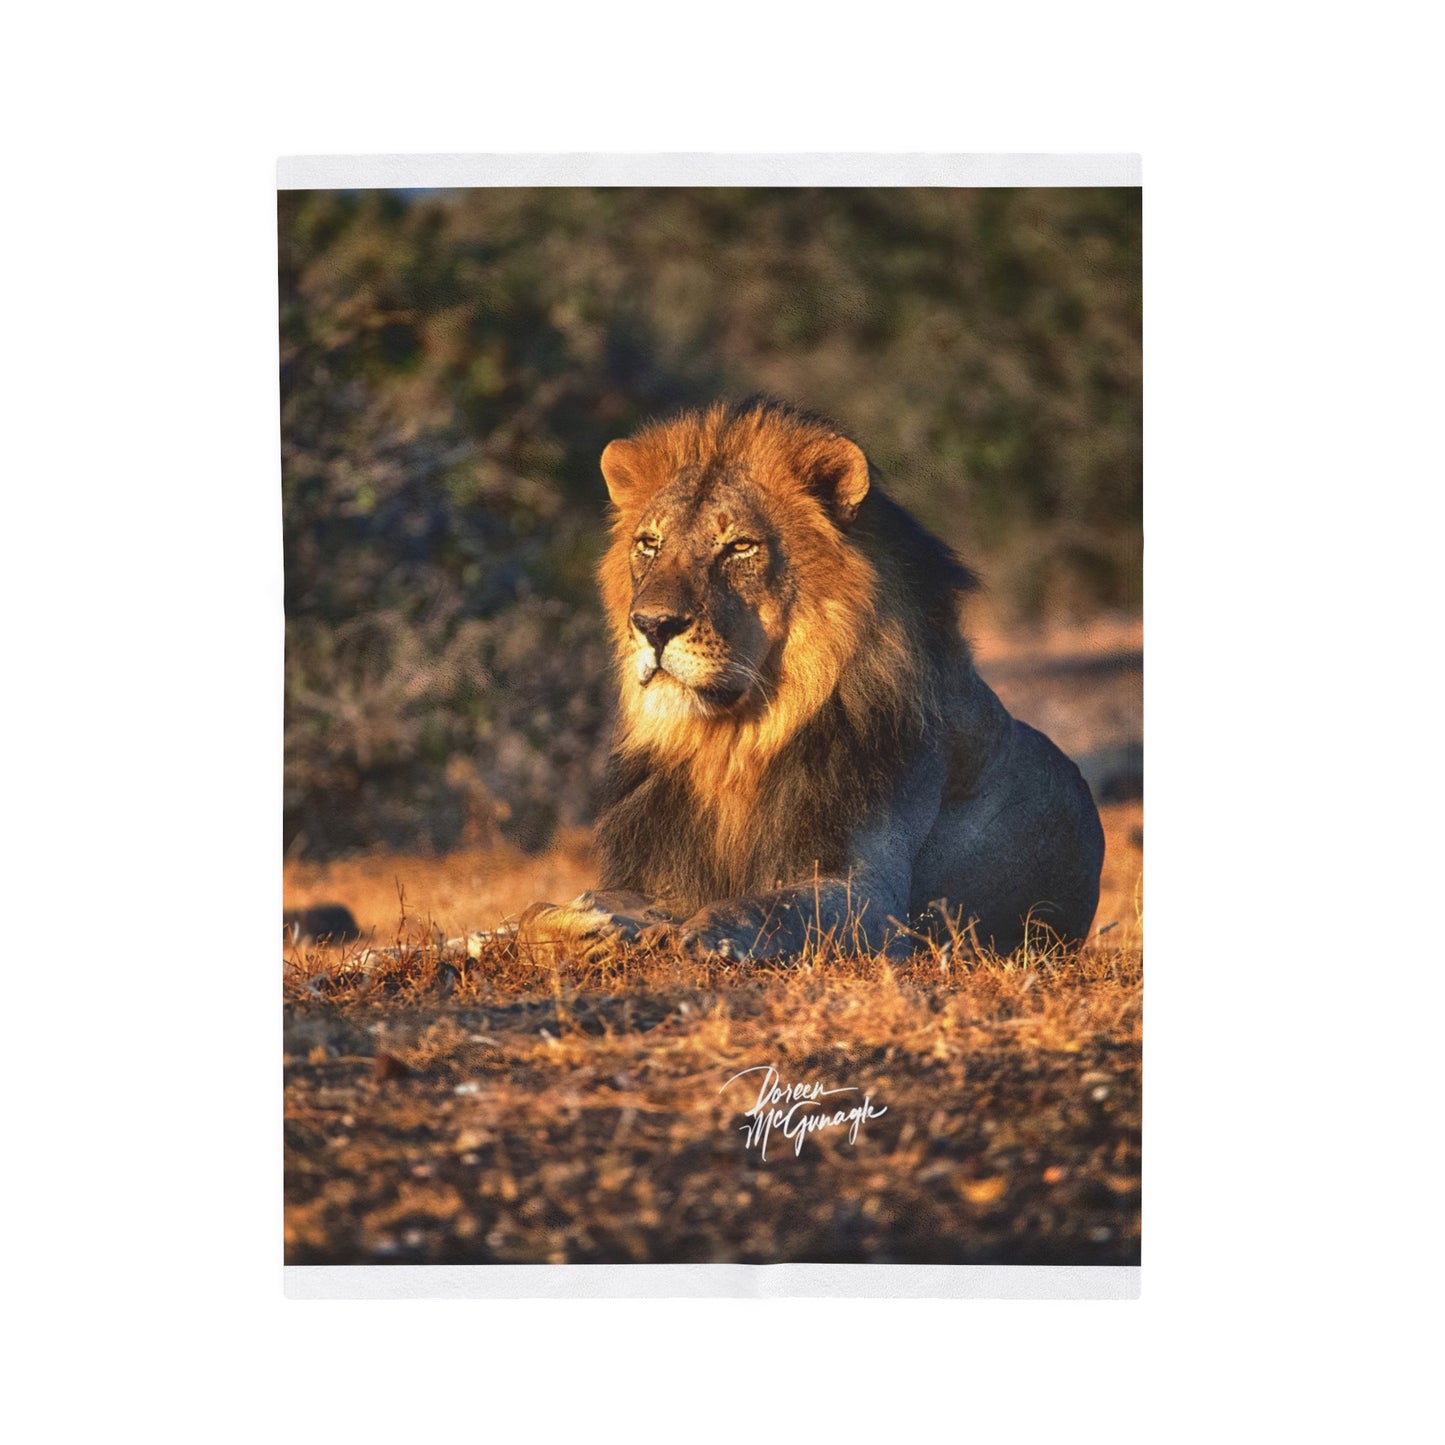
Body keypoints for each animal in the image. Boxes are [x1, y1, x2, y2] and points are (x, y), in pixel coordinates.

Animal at [522, 398, 1105, 962]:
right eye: (649, 543)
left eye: (739, 547)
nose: (651, 624)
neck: (731, 745)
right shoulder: (658, 874)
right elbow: (537, 908)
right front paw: (578, 922)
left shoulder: (873, 896)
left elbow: (765, 905)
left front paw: (705, 934)